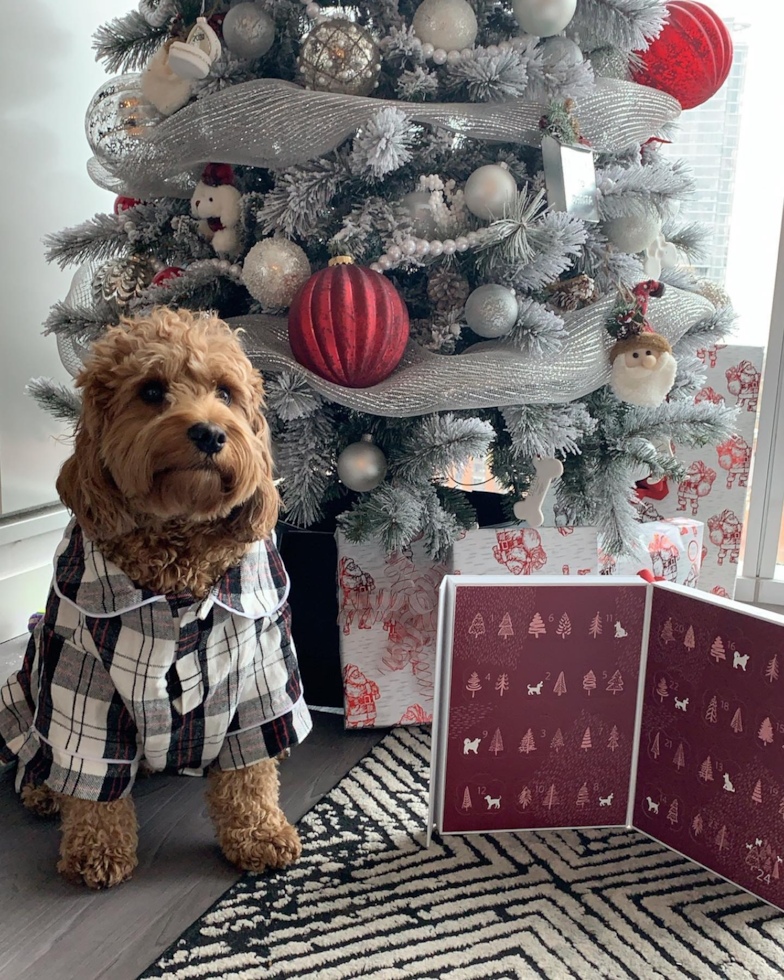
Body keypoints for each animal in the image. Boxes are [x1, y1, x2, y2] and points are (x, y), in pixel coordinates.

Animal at [8, 308, 310, 888]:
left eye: (225, 392)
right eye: (151, 391)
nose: (211, 433)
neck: (179, 557)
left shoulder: (261, 662)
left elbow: (252, 763)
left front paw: (259, 832)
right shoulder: (80, 670)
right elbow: (89, 768)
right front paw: (97, 850)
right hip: (28, 682)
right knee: (36, 751)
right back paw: (42, 790)